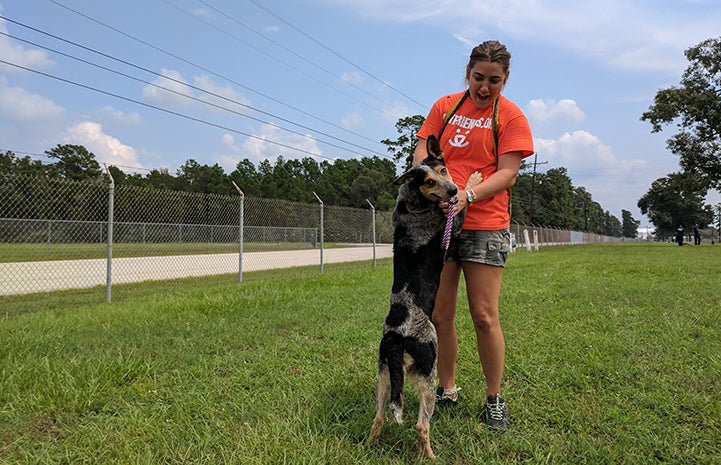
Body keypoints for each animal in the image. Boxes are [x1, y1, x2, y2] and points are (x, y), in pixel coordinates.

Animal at [366, 135, 472, 460]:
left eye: (443, 169)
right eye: (428, 181)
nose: (452, 191)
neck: (411, 204)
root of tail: (396, 337)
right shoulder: (453, 220)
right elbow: (460, 211)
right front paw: (473, 182)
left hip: (385, 377)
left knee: (378, 418)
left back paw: (369, 446)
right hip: (428, 376)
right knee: (421, 426)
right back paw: (431, 456)